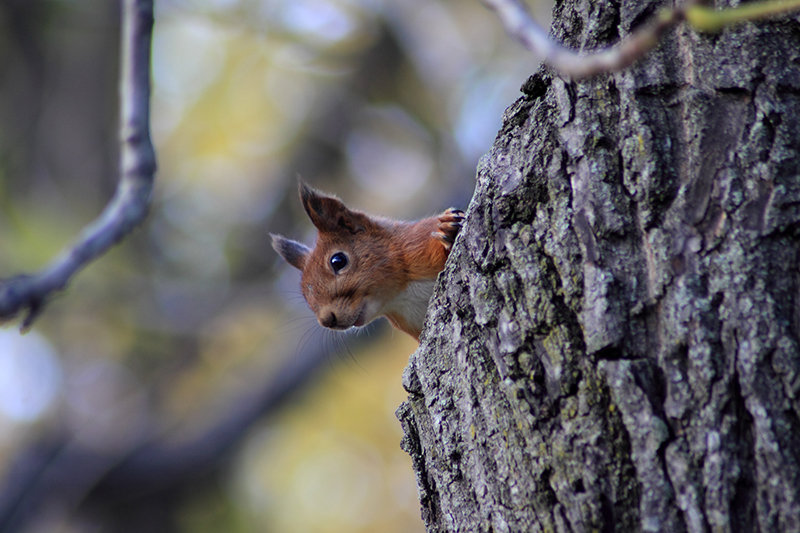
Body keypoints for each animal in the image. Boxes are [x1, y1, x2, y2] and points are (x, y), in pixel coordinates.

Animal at [272, 181, 466, 340]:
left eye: (338, 261)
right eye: (305, 294)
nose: (327, 320)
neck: (399, 295)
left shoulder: (419, 243)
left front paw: (448, 231)